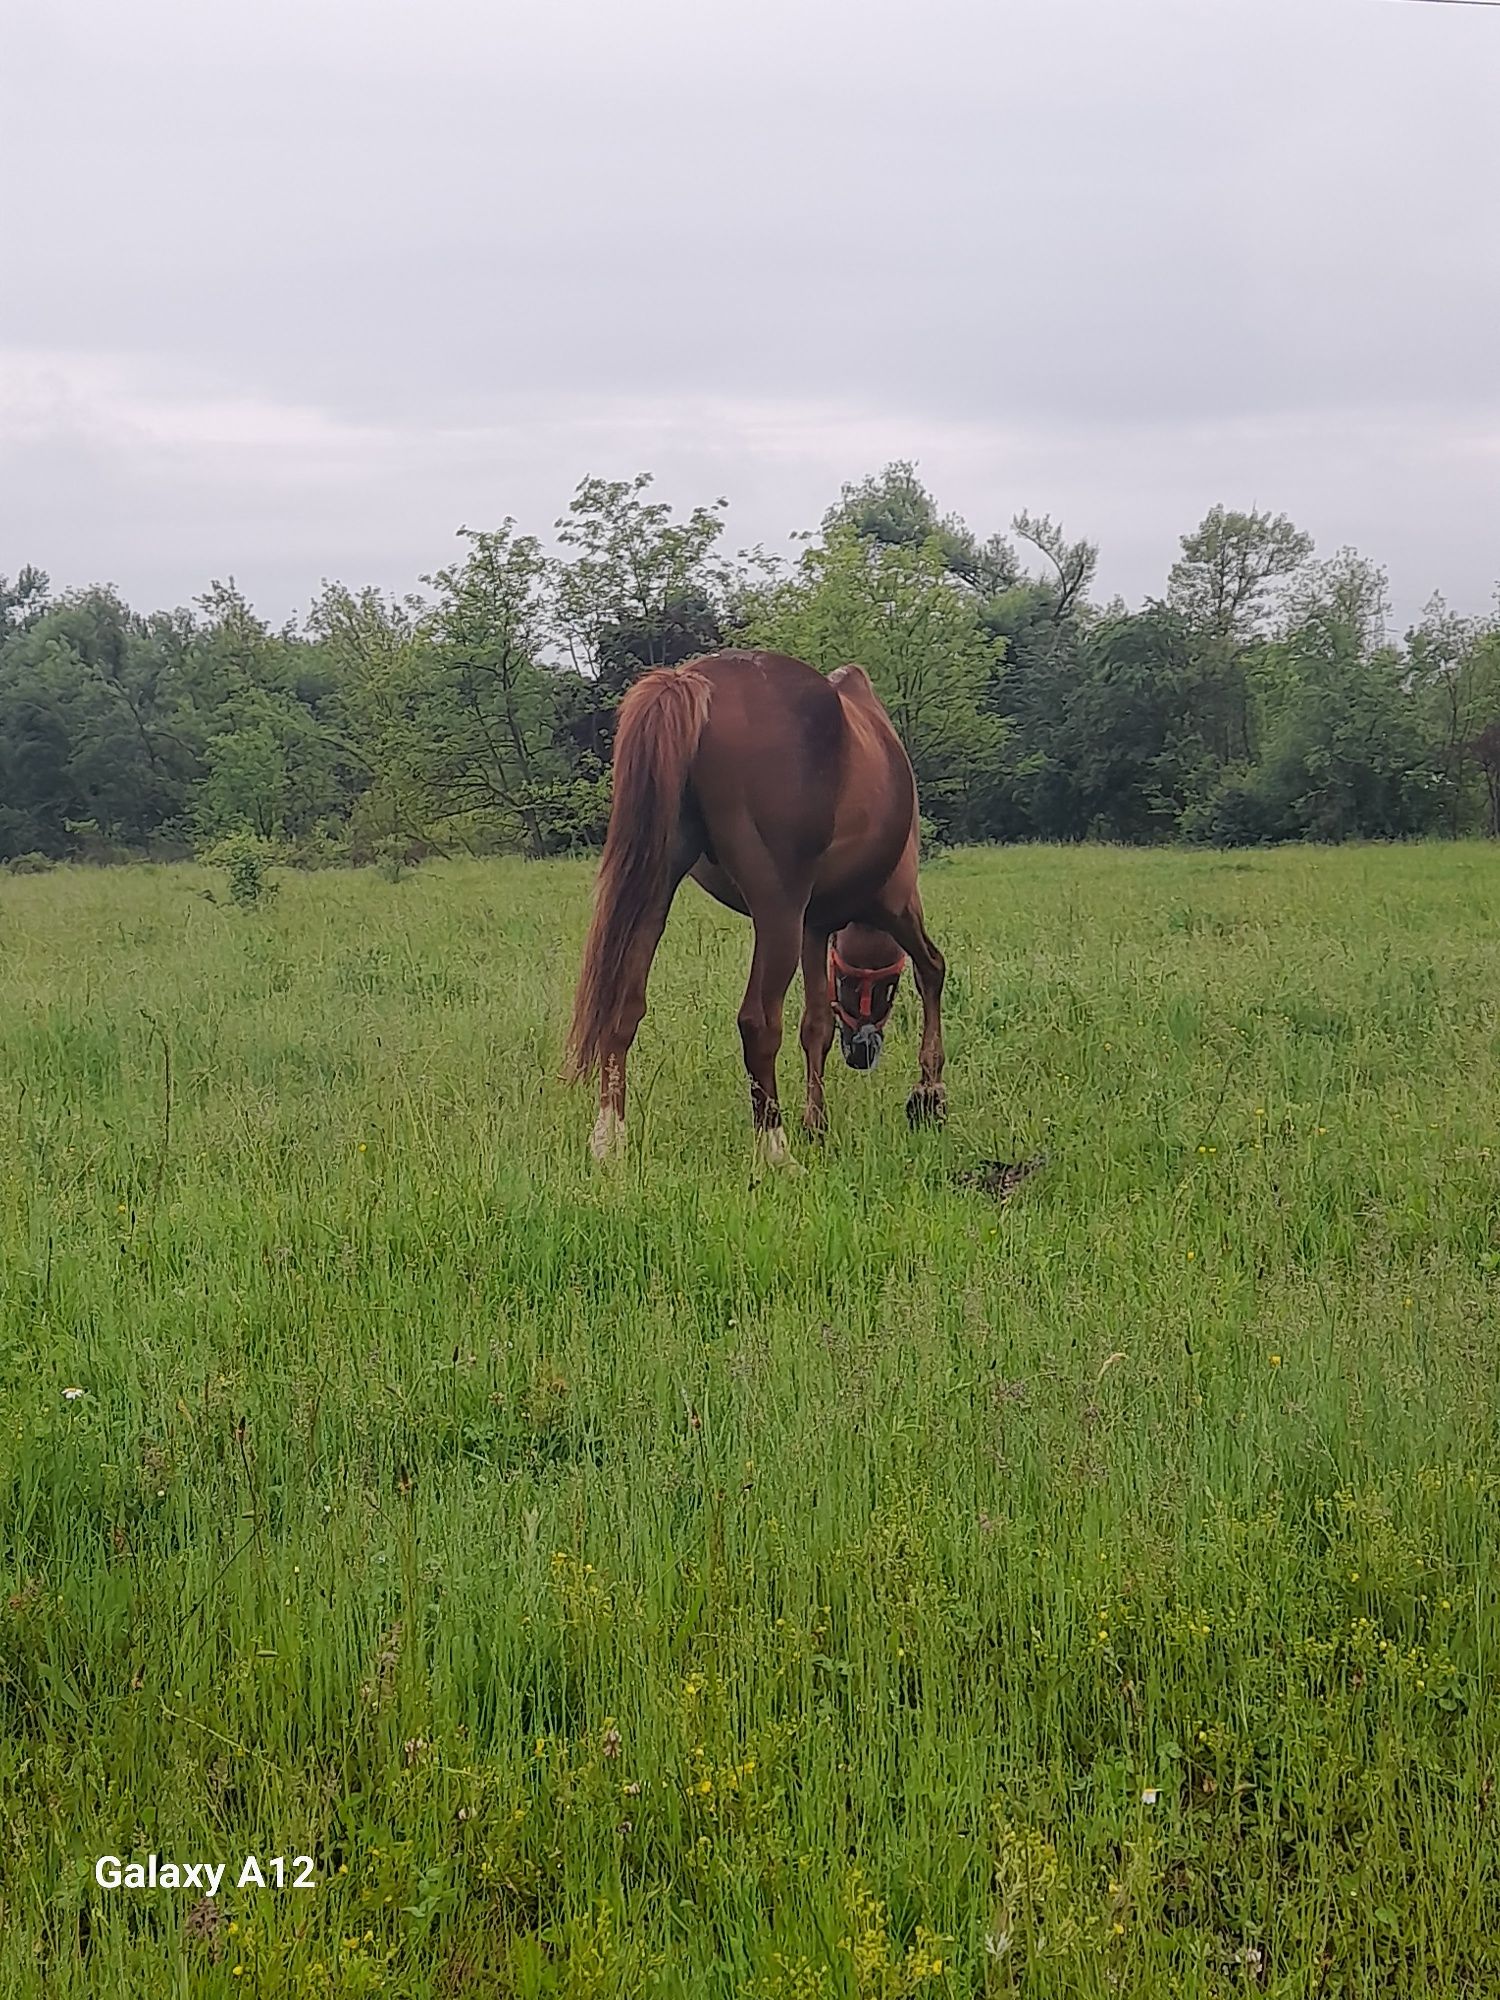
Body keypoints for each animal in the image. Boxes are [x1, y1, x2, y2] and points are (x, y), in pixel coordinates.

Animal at [568, 648, 944, 1168]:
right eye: (875, 987)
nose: (862, 1052)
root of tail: (690, 682)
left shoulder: (814, 928)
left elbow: (816, 1025)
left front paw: (817, 1124)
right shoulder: (896, 905)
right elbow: (931, 969)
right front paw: (929, 1094)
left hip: (657, 887)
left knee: (623, 1004)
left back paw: (609, 1139)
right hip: (776, 909)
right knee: (757, 1022)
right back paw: (775, 1150)